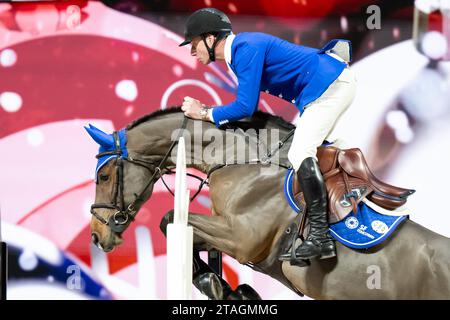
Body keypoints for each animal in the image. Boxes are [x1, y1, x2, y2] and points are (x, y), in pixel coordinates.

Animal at [87, 108, 450, 300]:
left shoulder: (243, 239)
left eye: (103, 176)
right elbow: (191, 239)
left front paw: (217, 286)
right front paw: (228, 289)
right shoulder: (224, 230)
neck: (238, 162)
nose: (96, 236)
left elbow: (168, 220)